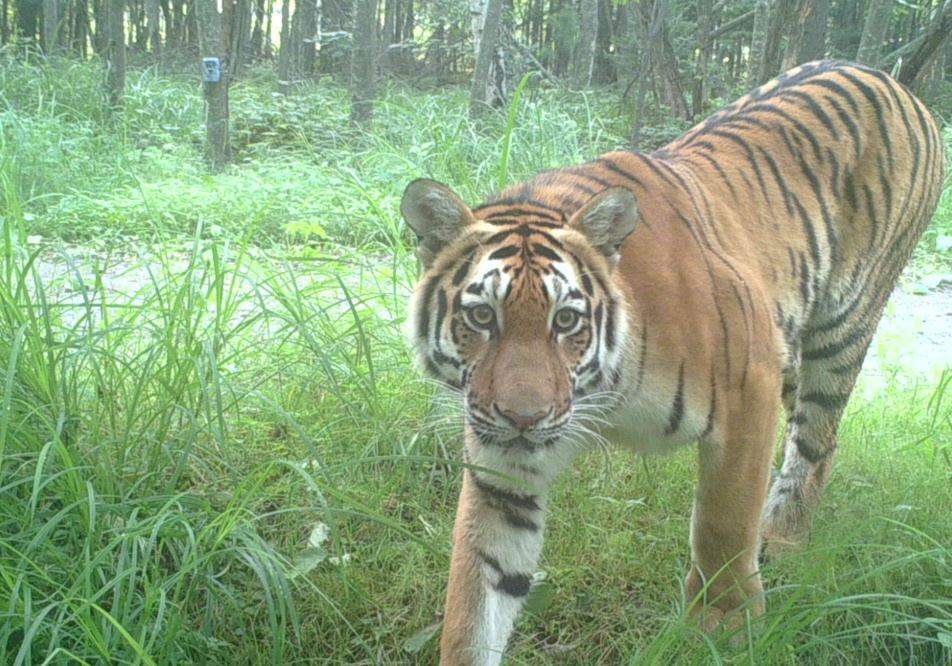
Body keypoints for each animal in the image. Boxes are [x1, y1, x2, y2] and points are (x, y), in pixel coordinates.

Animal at [400, 59, 944, 660]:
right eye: (481, 317)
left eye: (565, 321)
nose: (524, 417)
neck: (602, 393)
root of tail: (886, 78)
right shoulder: (501, 466)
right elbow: (478, 593)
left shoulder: (750, 388)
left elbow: (723, 526)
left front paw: (726, 626)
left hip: (843, 326)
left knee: (816, 441)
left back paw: (780, 539)